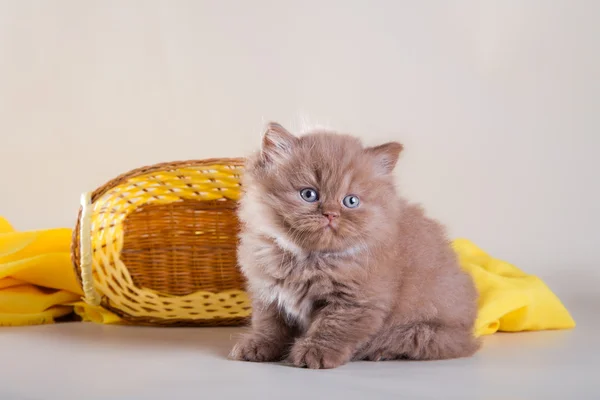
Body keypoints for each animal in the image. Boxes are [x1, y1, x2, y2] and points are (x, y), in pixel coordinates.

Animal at [229, 122, 478, 368]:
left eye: (350, 201)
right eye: (309, 194)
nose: (331, 214)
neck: (308, 260)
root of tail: (469, 333)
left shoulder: (357, 301)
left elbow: (332, 327)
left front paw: (314, 353)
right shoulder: (267, 293)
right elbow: (269, 325)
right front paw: (257, 346)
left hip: (423, 333)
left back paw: (383, 352)